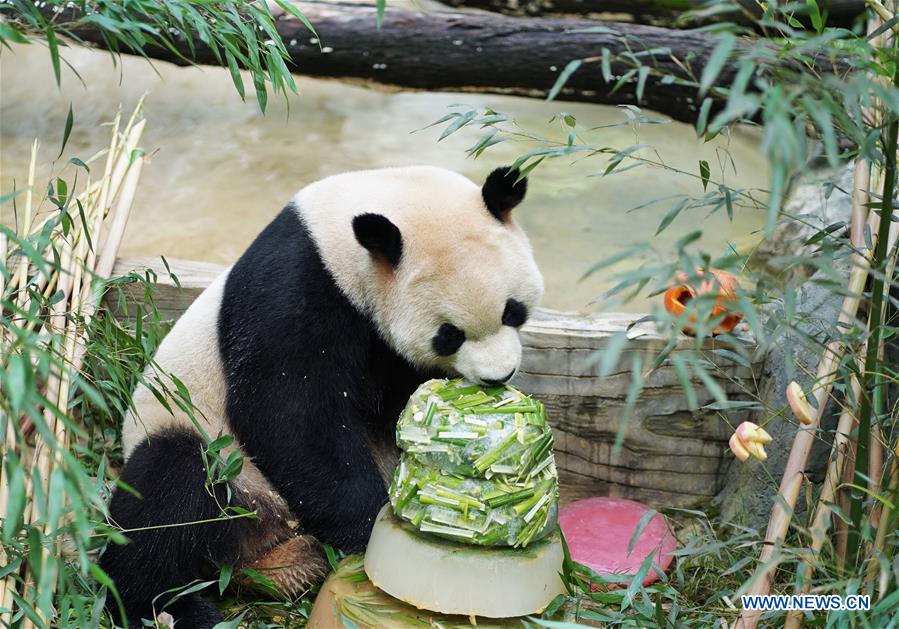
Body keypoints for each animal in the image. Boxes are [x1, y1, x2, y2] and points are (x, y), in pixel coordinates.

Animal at [101, 165, 544, 627]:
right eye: (449, 335)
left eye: (513, 311)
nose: (499, 375)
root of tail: (261, 544)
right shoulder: (295, 287)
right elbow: (288, 411)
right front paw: (369, 527)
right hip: (215, 451)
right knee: (164, 495)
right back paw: (169, 606)